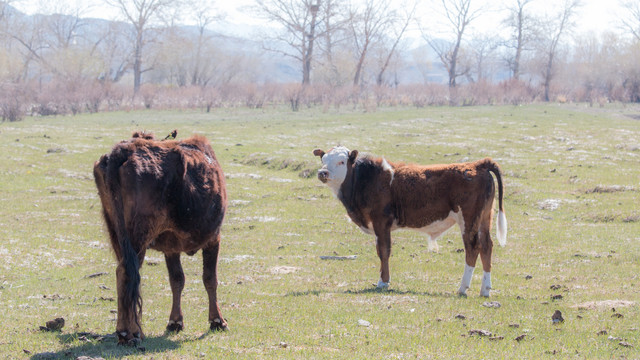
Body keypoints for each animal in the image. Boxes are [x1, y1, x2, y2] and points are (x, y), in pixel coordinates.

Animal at [93, 131, 228, 344]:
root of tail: (123, 151)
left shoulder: (171, 248)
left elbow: (177, 280)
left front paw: (175, 322)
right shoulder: (214, 239)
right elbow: (210, 278)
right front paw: (217, 320)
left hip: (117, 234)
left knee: (123, 274)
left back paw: (125, 331)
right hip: (137, 238)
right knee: (128, 273)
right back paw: (131, 332)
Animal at [312, 145, 508, 296]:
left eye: (341, 161)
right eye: (323, 160)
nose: (322, 172)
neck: (366, 180)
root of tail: (477, 164)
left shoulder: (381, 222)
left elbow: (383, 251)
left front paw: (383, 282)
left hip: (468, 219)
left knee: (473, 247)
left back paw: (462, 288)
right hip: (484, 217)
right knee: (486, 246)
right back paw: (485, 290)